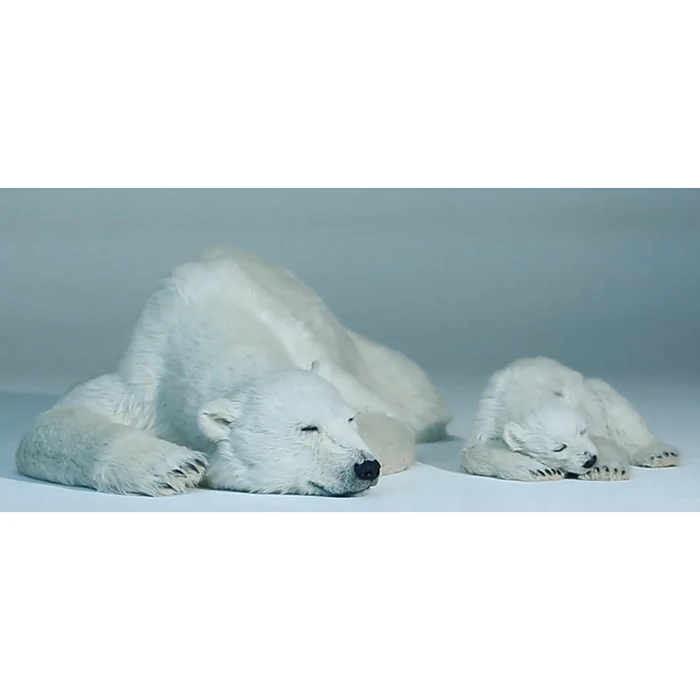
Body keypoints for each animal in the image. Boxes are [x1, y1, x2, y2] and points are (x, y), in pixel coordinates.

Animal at [16, 246, 452, 497]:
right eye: (307, 428)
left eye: (349, 419)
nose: (366, 467)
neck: (213, 317)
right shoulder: (146, 370)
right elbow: (51, 425)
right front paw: (177, 466)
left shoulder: (311, 348)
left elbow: (392, 425)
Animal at [460, 357, 680, 482]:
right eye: (559, 448)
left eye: (582, 430)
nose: (590, 460)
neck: (522, 392)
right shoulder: (488, 417)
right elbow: (475, 452)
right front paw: (543, 471)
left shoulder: (585, 406)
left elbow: (602, 439)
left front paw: (606, 469)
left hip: (597, 390)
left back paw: (661, 454)